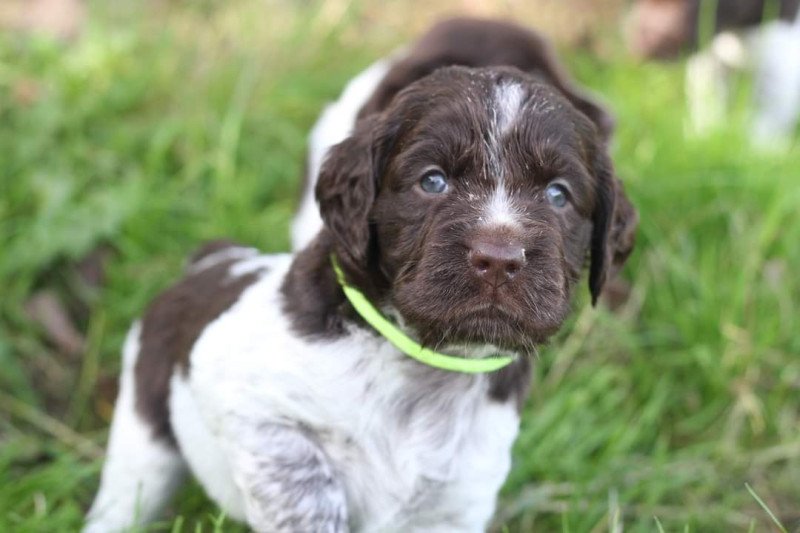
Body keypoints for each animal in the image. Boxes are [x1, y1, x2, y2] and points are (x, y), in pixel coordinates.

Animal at [87, 16, 636, 532]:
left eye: (558, 195)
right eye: (432, 181)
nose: (500, 259)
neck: (424, 366)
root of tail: (215, 258)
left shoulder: (459, 498)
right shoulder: (241, 395)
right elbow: (305, 487)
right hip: (144, 433)